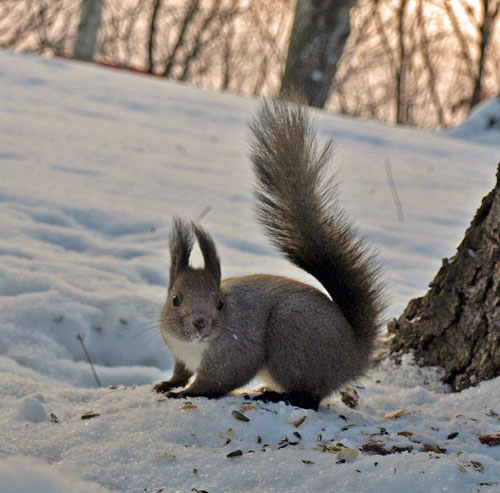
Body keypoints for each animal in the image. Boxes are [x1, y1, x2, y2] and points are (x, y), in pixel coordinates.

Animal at [154, 98, 384, 410]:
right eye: (174, 299)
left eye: (219, 303)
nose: (200, 324)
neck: (194, 345)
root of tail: (353, 356)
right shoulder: (178, 351)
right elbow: (180, 372)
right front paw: (169, 383)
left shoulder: (236, 353)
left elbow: (216, 382)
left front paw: (186, 393)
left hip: (292, 339)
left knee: (309, 398)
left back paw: (274, 395)